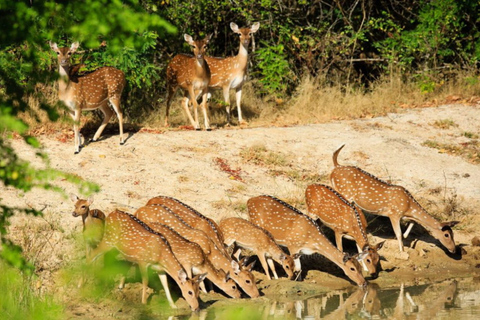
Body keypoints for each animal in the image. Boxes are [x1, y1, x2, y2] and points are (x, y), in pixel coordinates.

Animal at [328, 144, 460, 252]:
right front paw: (402, 251)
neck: (408, 205)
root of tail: (335, 167)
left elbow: (411, 224)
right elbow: (399, 233)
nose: (454, 250)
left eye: (453, 234)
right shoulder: (394, 213)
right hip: (344, 192)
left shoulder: (404, 215)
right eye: (447, 235)